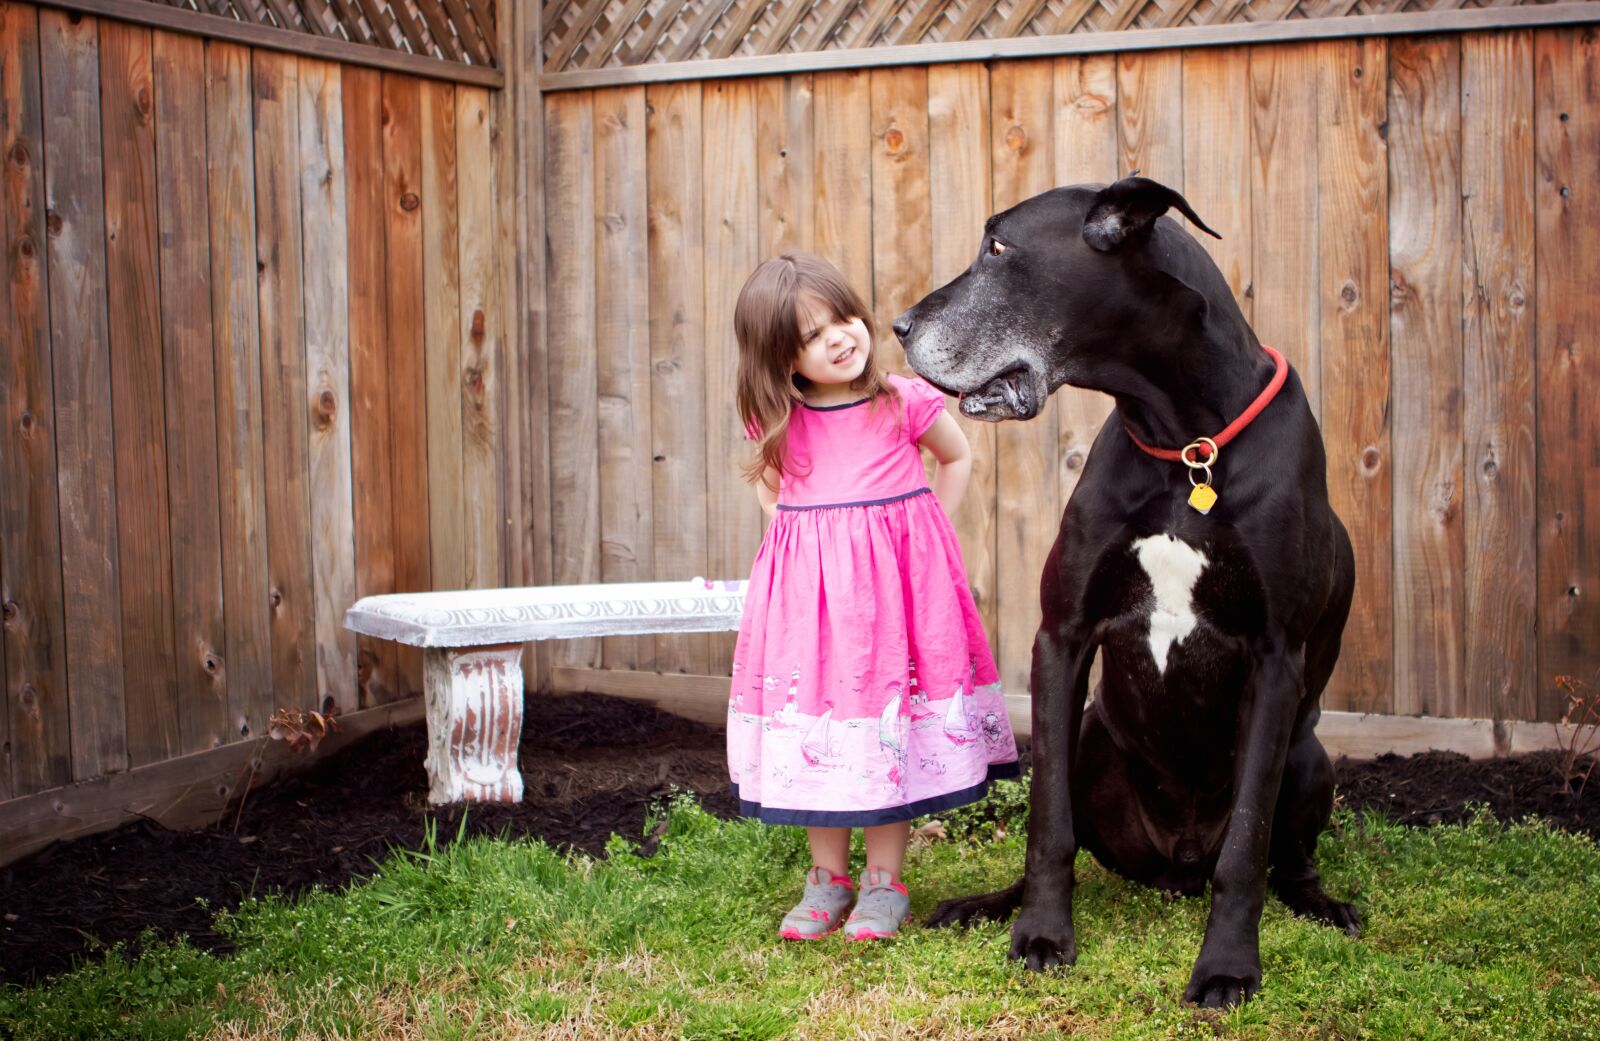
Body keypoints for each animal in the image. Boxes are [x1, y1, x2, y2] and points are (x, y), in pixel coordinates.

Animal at [896, 177, 1356, 1010]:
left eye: (998, 248)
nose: (899, 326)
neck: (1185, 442)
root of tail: (1178, 862)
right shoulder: (1063, 632)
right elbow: (1047, 824)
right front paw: (1041, 933)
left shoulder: (1277, 658)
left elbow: (1247, 847)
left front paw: (1227, 965)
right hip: (1088, 738)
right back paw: (987, 903)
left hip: (1310, 756)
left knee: (1286, 857)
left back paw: (1321, 902)